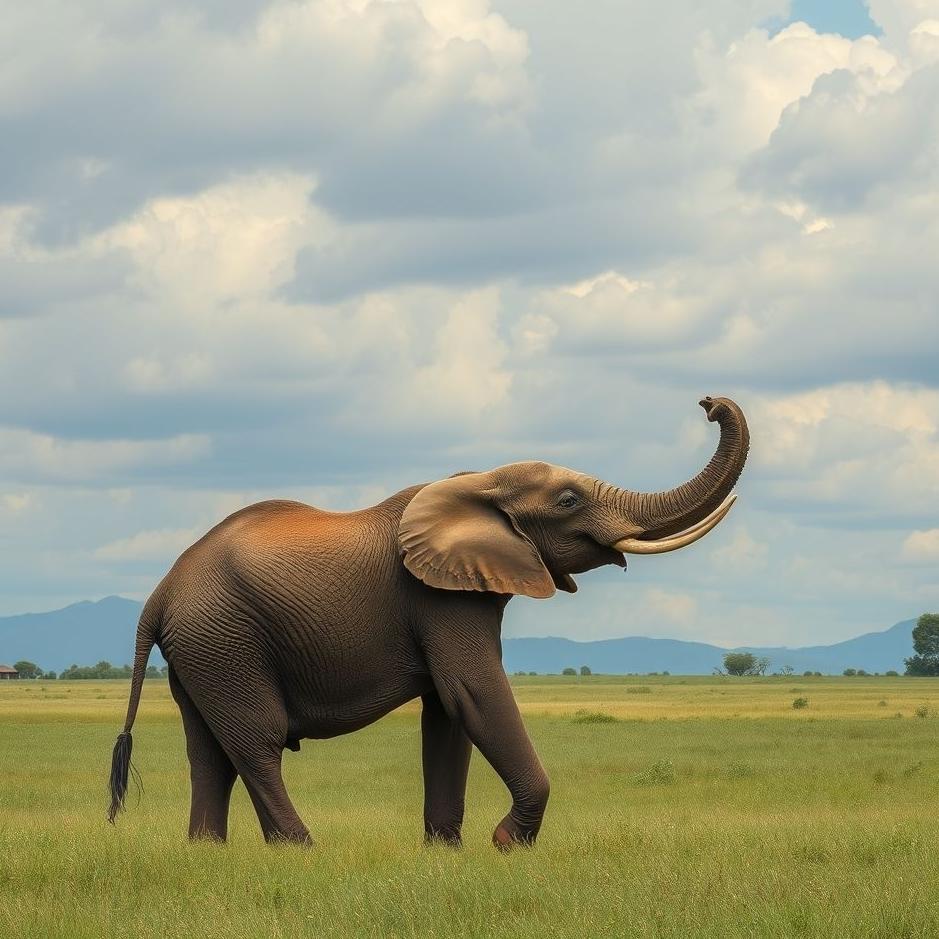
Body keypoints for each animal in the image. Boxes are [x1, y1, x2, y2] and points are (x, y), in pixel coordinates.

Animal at [108, 395, 748, 848]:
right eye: (569, 501)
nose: (709, 403)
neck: (480, 481)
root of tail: (159, 595)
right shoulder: (439, 597)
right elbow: (474, 693)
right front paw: (505, 844)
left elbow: (449, 712)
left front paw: (444, 852)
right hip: (226, 639)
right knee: (256, 743)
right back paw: (300, 850)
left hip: (202, 648)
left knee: (209, 752)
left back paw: (209, 853)